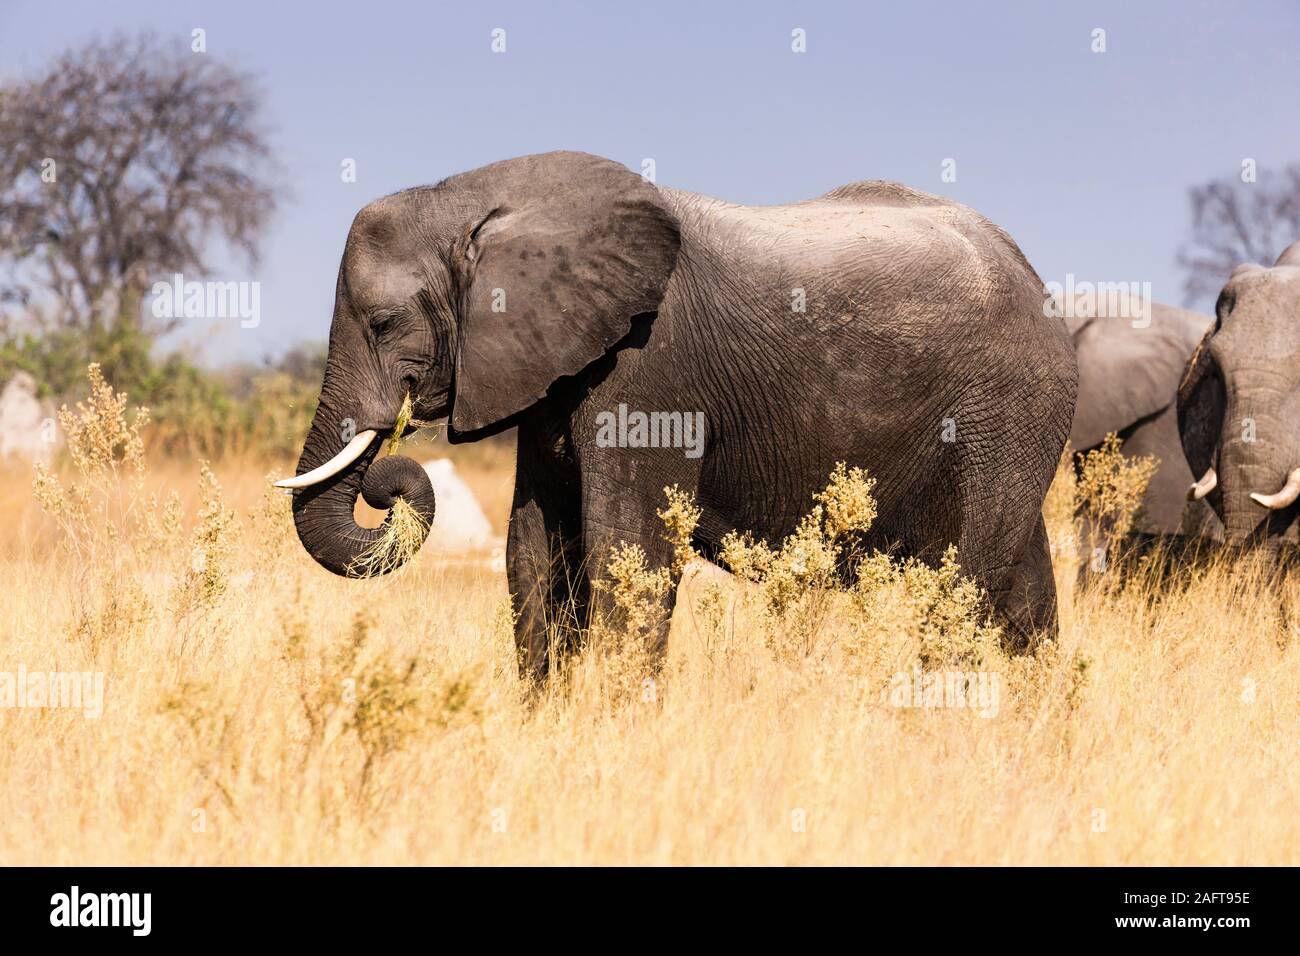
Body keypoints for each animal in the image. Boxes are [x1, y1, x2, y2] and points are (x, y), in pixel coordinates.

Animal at [276, 149, 1076, 681]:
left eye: (383, 324)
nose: (390, 477)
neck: (481, 199)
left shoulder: (649, 365)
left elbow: (629, 555)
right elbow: (535, 551)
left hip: (1005, 410)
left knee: (965, 582)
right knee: (1025, 590)